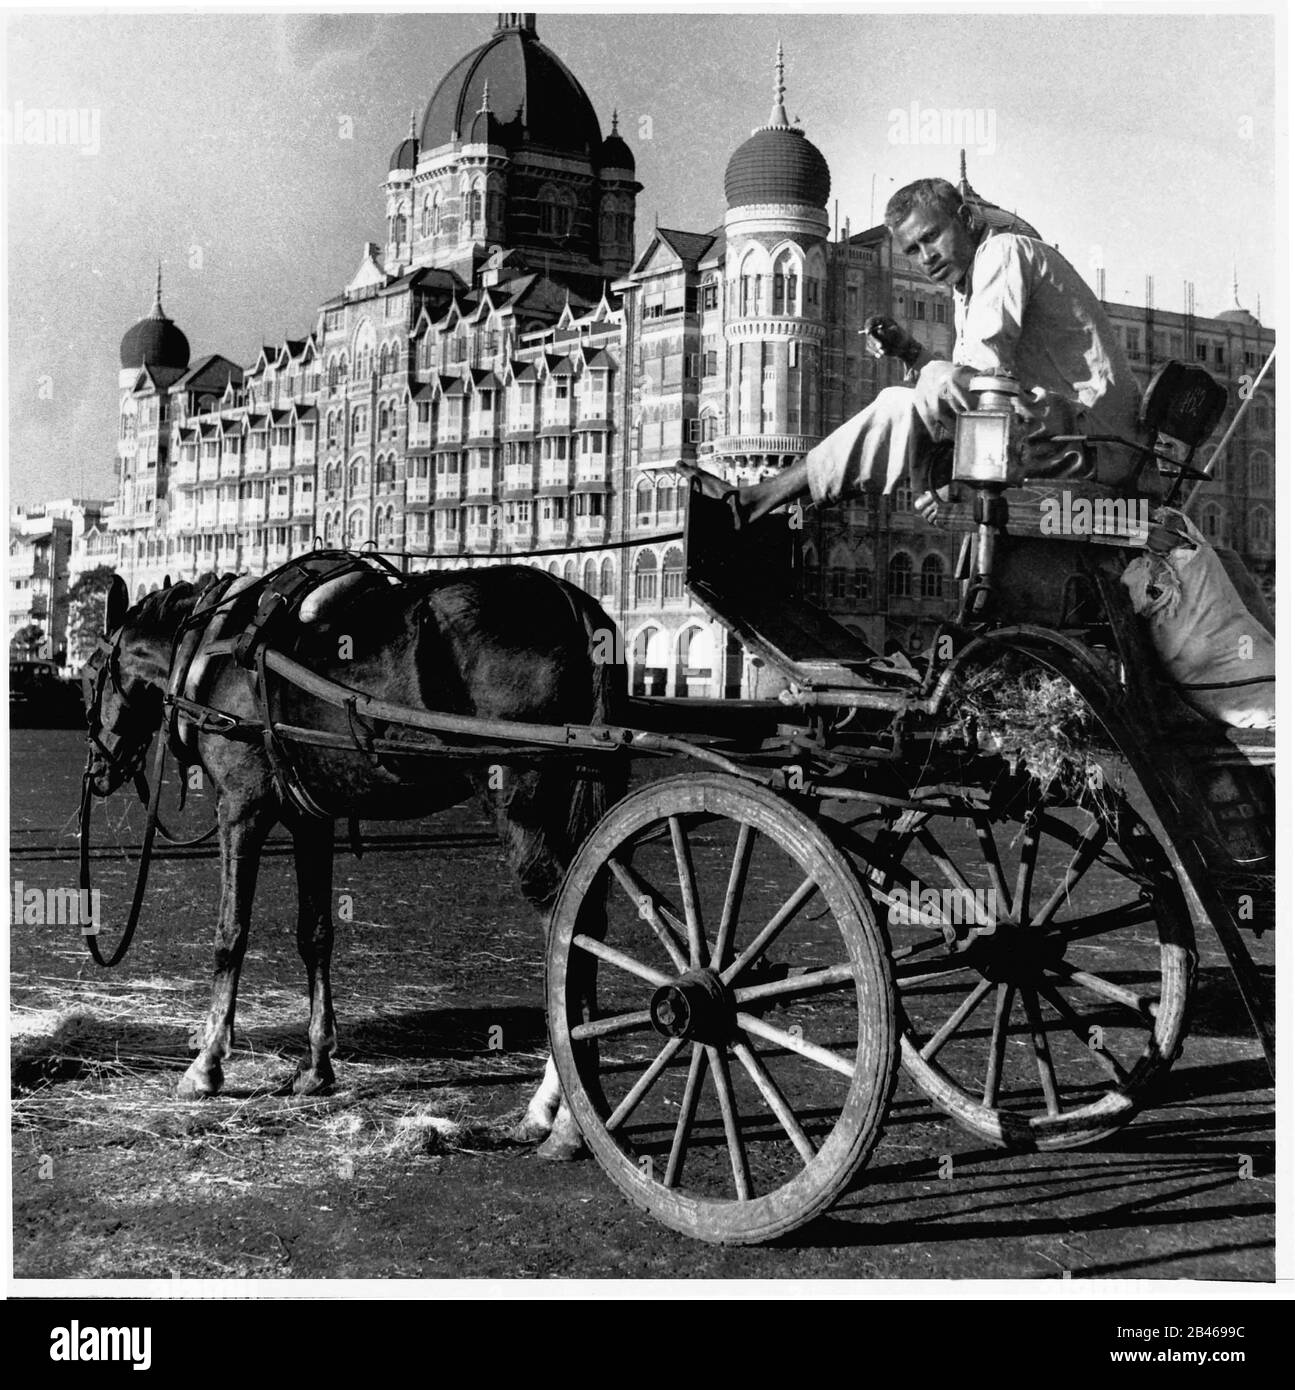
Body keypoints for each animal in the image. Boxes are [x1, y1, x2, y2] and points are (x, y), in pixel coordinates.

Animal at [80, 558, 628, 1156]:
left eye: (88, 673)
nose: (96, 771)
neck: (211, 647)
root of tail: (572, 602)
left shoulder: (241, 806)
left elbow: (231, 934)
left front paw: (206, 1064)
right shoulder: (309, 817)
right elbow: (315, 933)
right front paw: (317, 1064)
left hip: (522, 800)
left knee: (567, 924)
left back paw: (563, 1117)